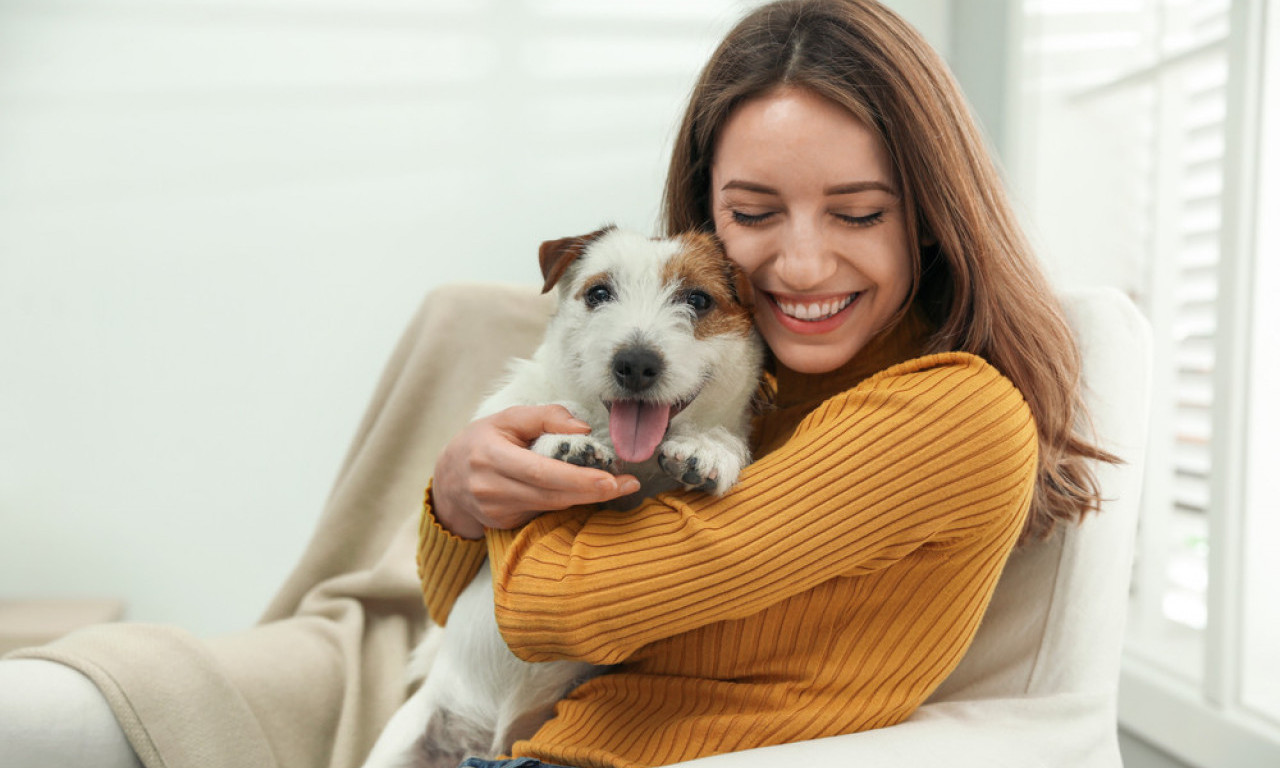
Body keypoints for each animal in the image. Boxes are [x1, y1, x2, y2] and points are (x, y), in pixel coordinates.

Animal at [360, 225, 757, 762]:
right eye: (598, 293)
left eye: (697, 299)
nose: (635, 363)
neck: (632, 458)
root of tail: (487, 741)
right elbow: (550, 410)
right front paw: (566, 442)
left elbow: (720, 439)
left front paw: (708, 448)